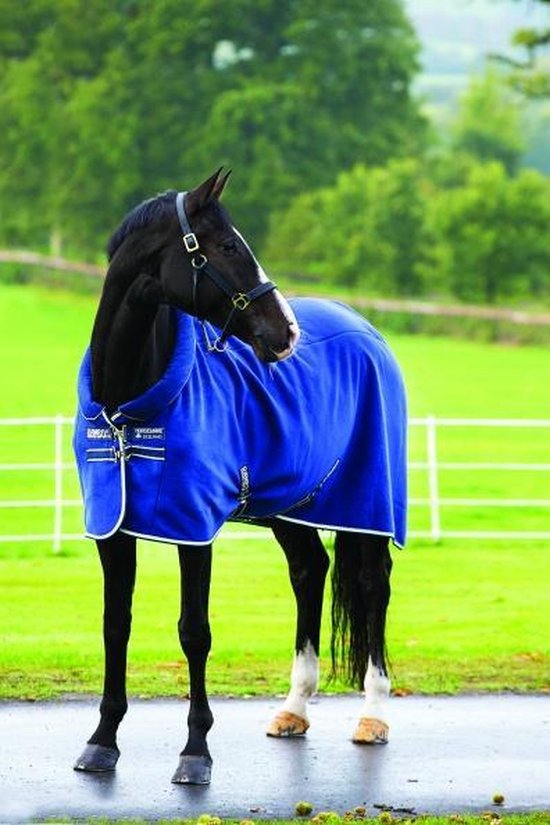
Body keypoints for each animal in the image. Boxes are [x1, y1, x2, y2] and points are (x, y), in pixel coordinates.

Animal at [72, 168, 407, 785]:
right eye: (228, 247)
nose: (287, 333)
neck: (128, 406)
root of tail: (366, 329)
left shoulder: (192, 528)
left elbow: (194, 631)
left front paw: (195, 752)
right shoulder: (113, 528)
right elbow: (115, 624)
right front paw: (102, 742)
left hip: (368, 504)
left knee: (374, 587)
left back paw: (373, 715)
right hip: (291, 505)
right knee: (309, 570)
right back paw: (294, 709)